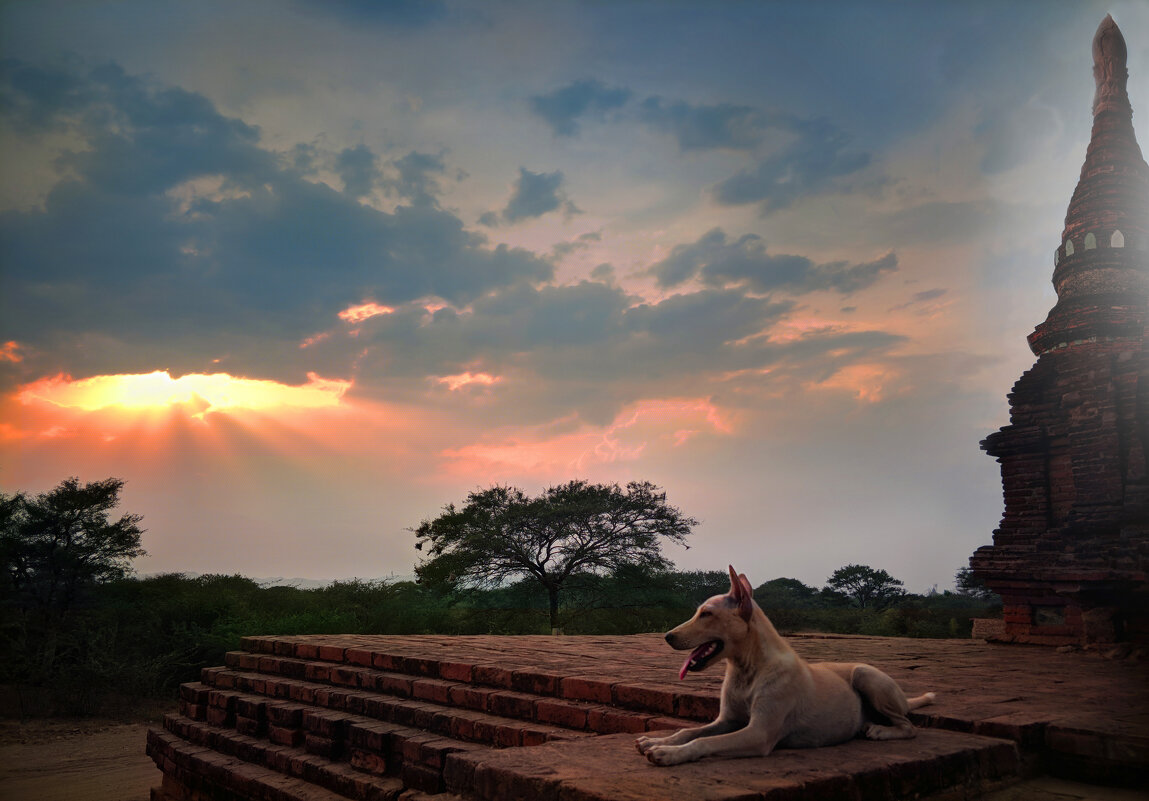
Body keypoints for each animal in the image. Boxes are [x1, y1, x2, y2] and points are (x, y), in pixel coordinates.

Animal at [638, 565, 932, 767]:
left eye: (707, 614)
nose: (668, 636)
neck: (748, 669)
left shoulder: (759, 734)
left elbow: (704, 741)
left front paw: (669, 753)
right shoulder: (727, 720)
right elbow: (689, 731)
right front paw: (658, 740)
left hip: (866, 675)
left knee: (909, 726)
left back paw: (881, 730)